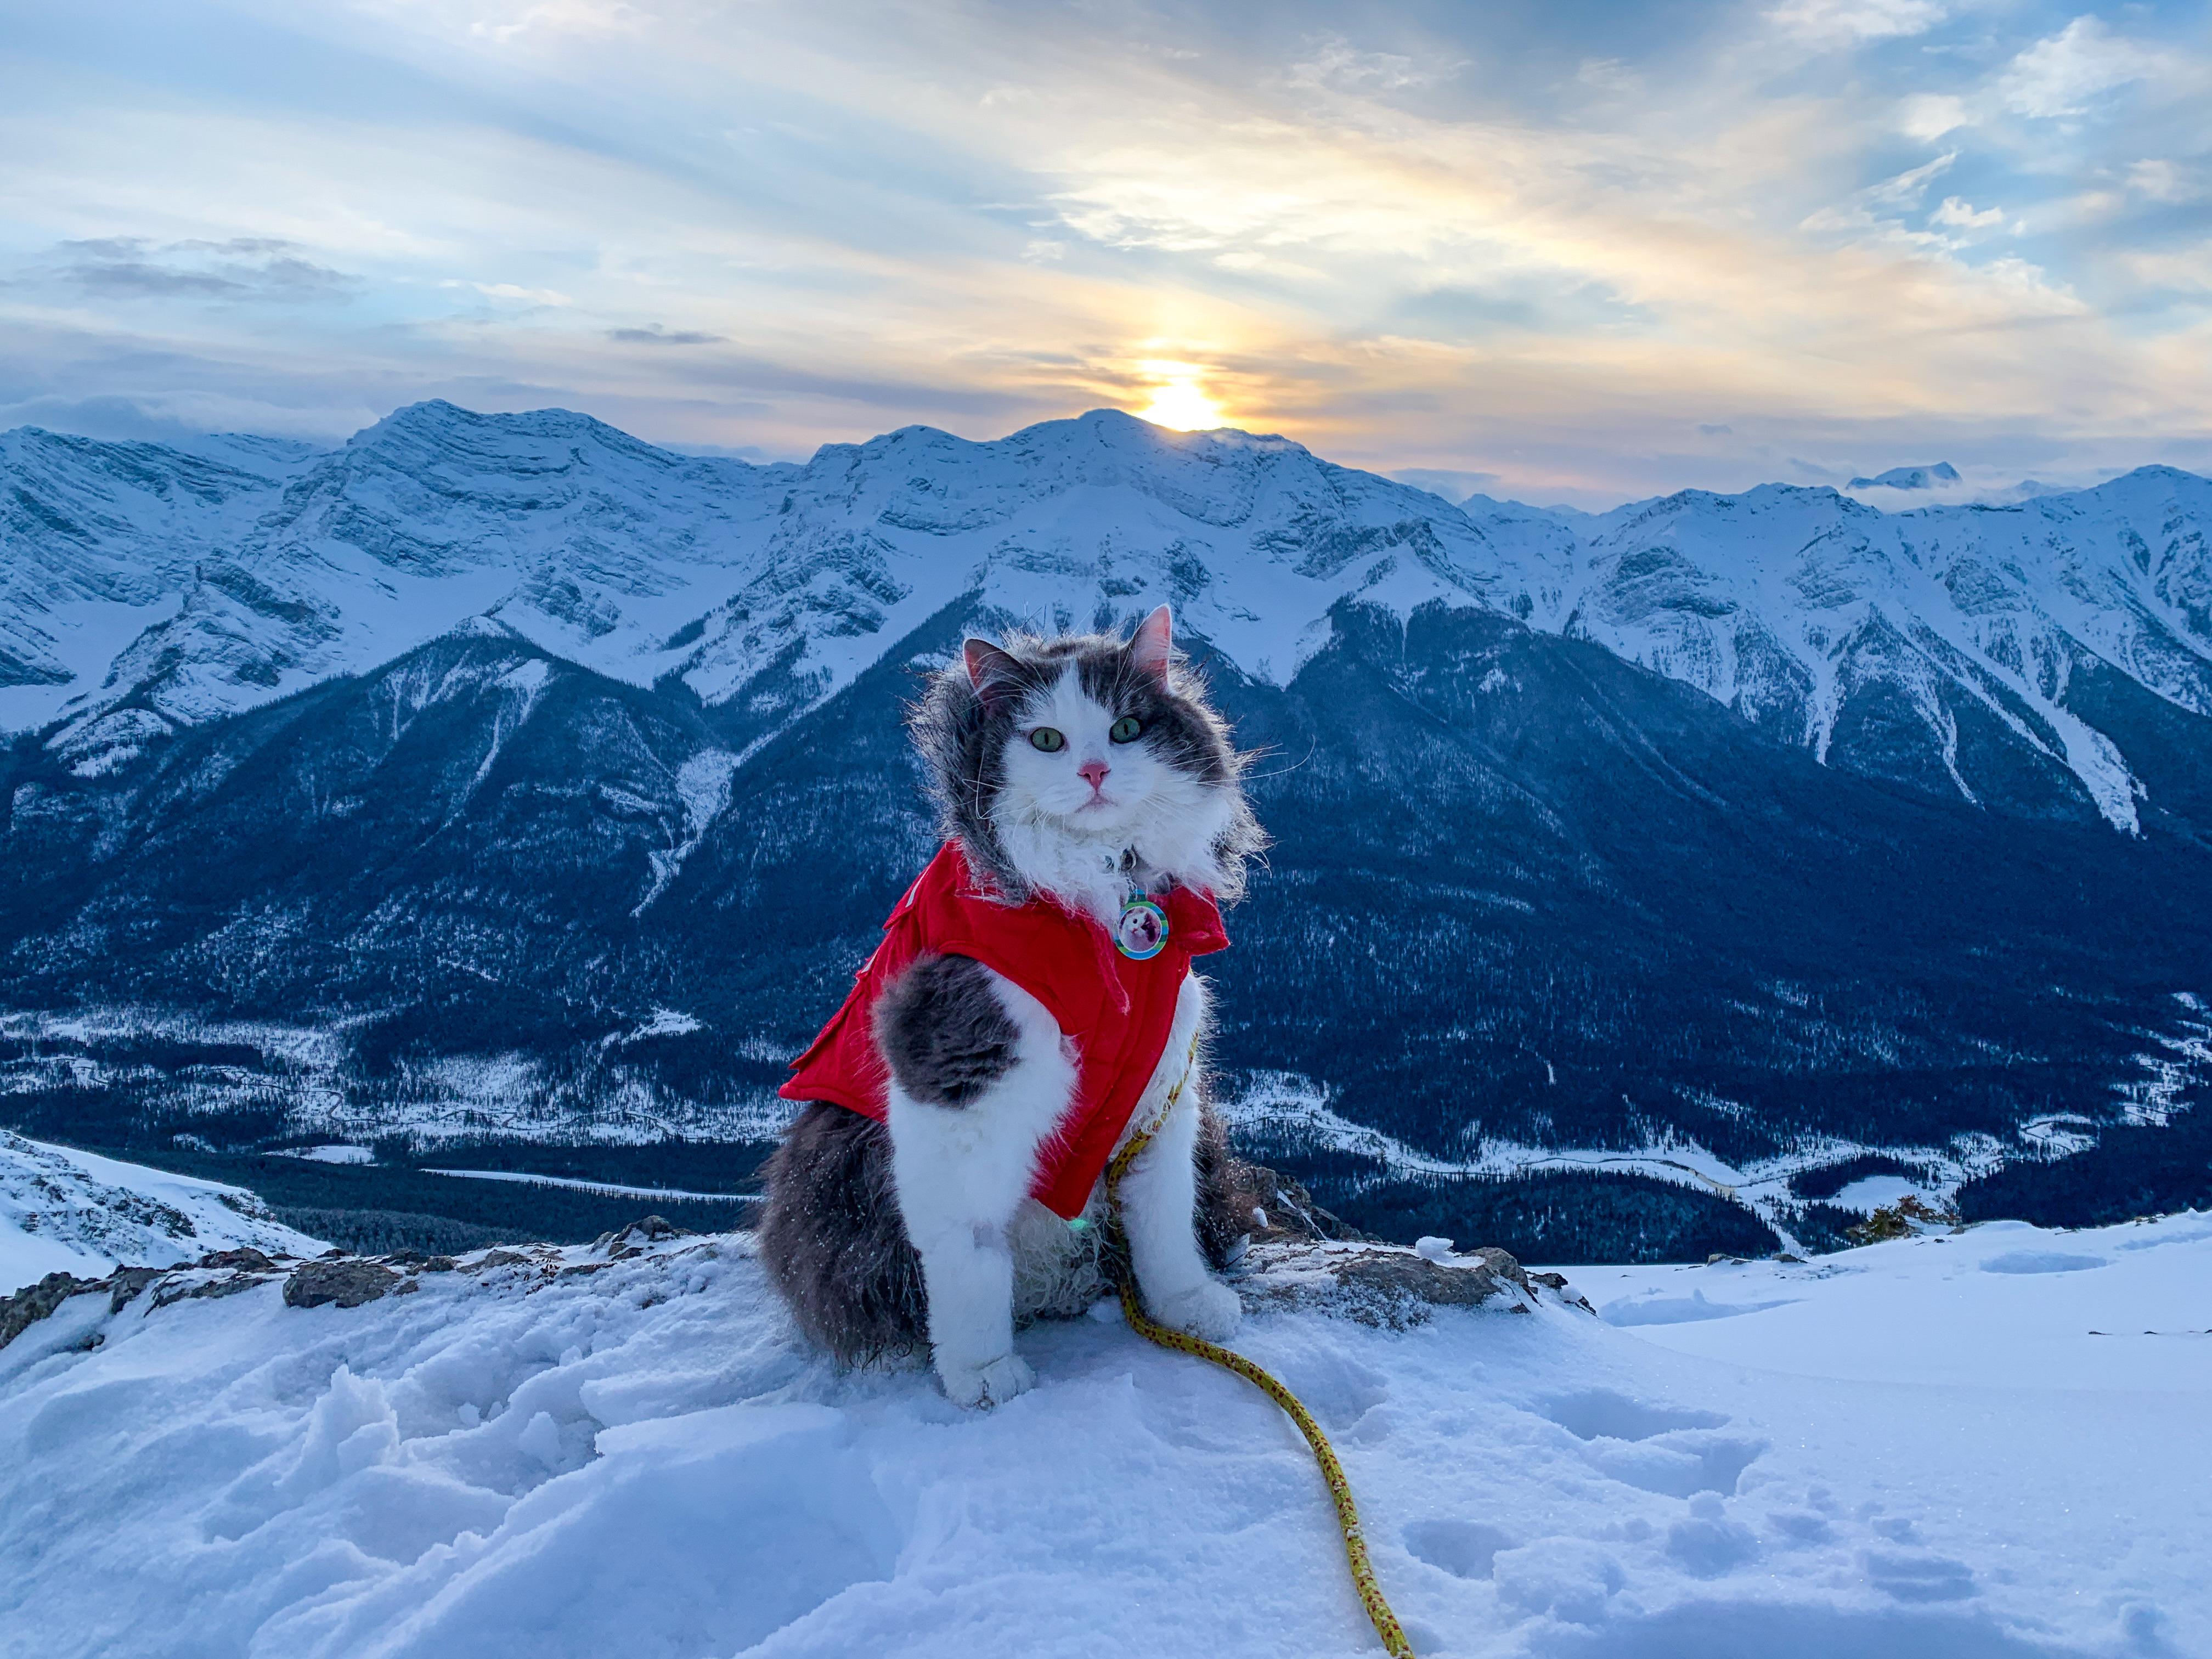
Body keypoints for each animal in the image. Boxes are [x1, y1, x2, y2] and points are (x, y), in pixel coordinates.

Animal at [765, 606, 1265, 1407]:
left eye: (1127, 728)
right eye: (1047, 740)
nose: (1093, 773)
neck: (1101, 900)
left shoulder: (1165, 1085)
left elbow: (1166, 1215)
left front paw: (1186, 1305)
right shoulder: (960, 1072)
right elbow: (966, 1248)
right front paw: (981, 1371)